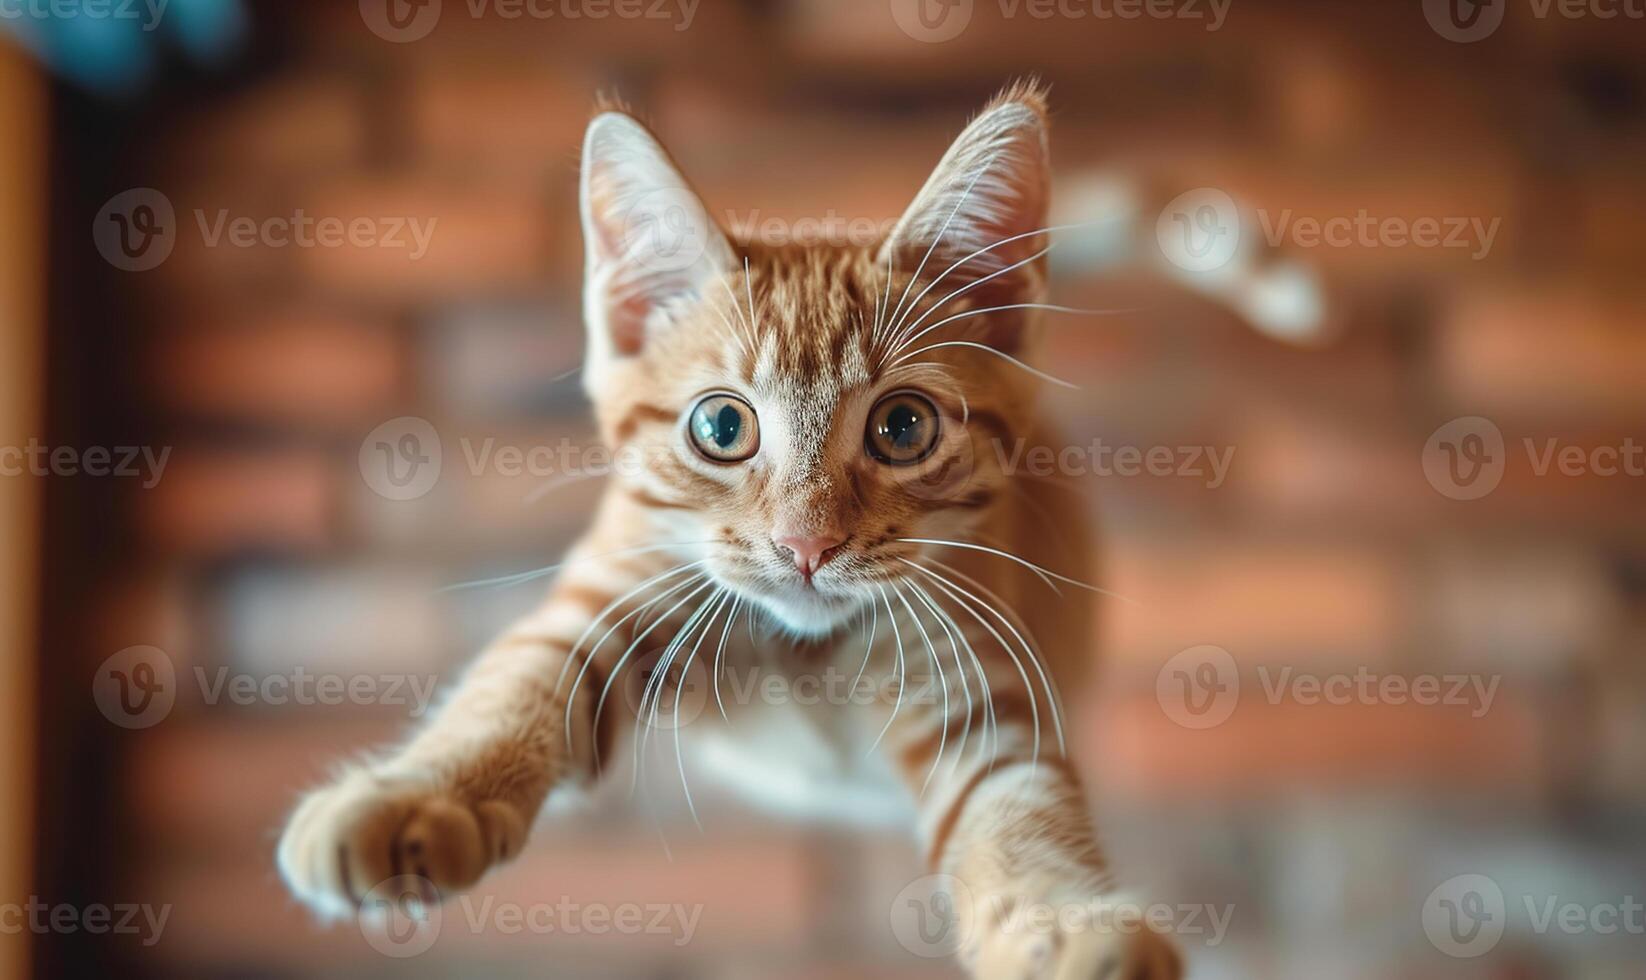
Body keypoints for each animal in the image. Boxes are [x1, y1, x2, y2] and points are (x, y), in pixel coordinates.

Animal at [283, 84, 1185, 980]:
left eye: (903, 427)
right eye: (722, 426)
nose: (807, 546)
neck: (809, 653)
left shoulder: (973, 670)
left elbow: (1019, 804)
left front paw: (1062, 925)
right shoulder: (619, 584)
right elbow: (520, 681)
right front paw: (416, 794)